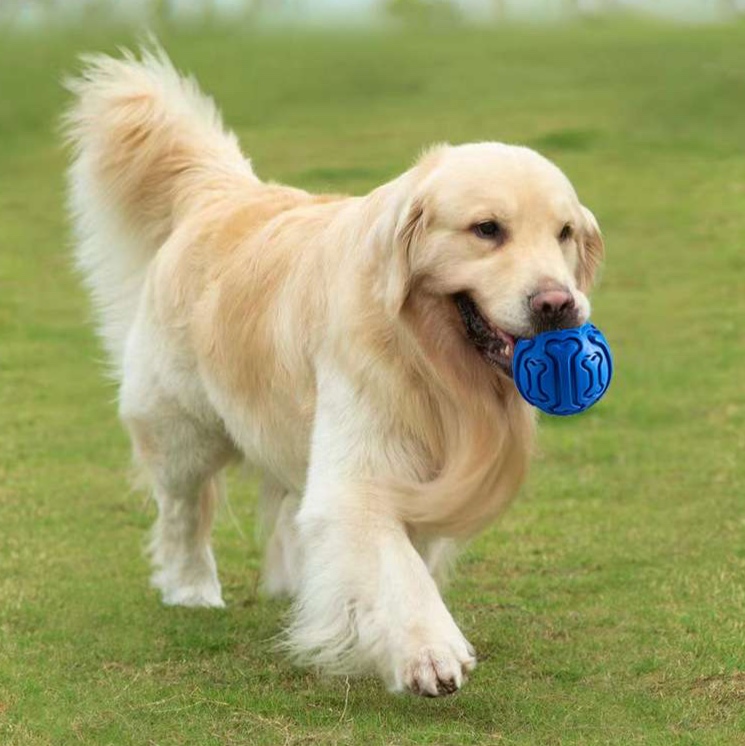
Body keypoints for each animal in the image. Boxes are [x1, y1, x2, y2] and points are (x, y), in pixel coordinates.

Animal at [64, 49, 604, 696]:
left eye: (564, 233)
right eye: (487, 229)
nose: (557, 304)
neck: (428, 359)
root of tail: (222, 193)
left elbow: (403, 552)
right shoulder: (362, 469)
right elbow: (393, 565)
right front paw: (428, 649)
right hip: (182, 429)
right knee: (183, 511)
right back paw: (191, 588)